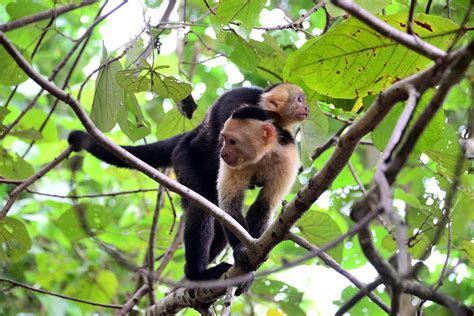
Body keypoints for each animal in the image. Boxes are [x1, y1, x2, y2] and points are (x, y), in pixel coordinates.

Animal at [218, 106, 300, 272]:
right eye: (224, 139)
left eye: (232, 142)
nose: (223, 154)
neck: (263, 155)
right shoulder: (234, 165)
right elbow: (229, 205)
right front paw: (241, 248)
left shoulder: (286, 160)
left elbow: (264, 204)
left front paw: (255, 249)